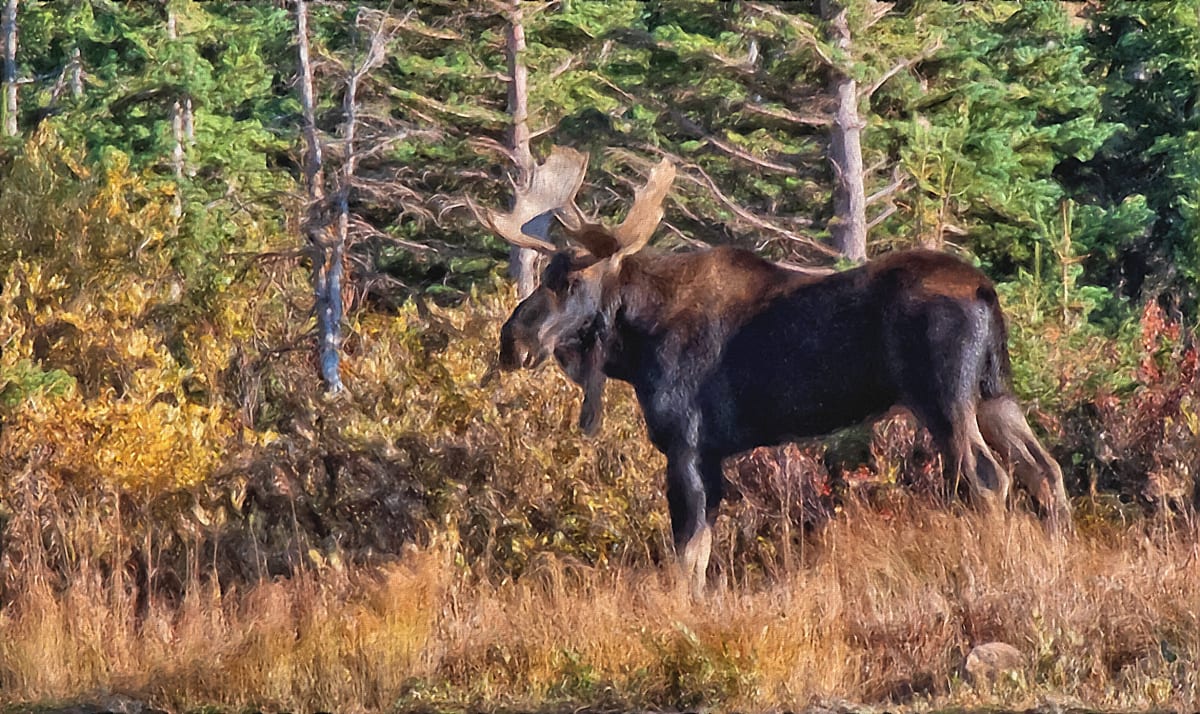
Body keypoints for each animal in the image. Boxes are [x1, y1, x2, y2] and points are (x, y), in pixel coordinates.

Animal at [475, 146, 1071, 596]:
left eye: (568, 281)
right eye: (542, 275)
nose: (512, 341)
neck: (635, 339)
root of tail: (985, 291)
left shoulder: (687, 443)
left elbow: (687, 553)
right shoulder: (711, 453)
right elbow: (700, 552)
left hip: (944, 400)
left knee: (989, 478)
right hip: (994, 392)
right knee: (1045, 469)